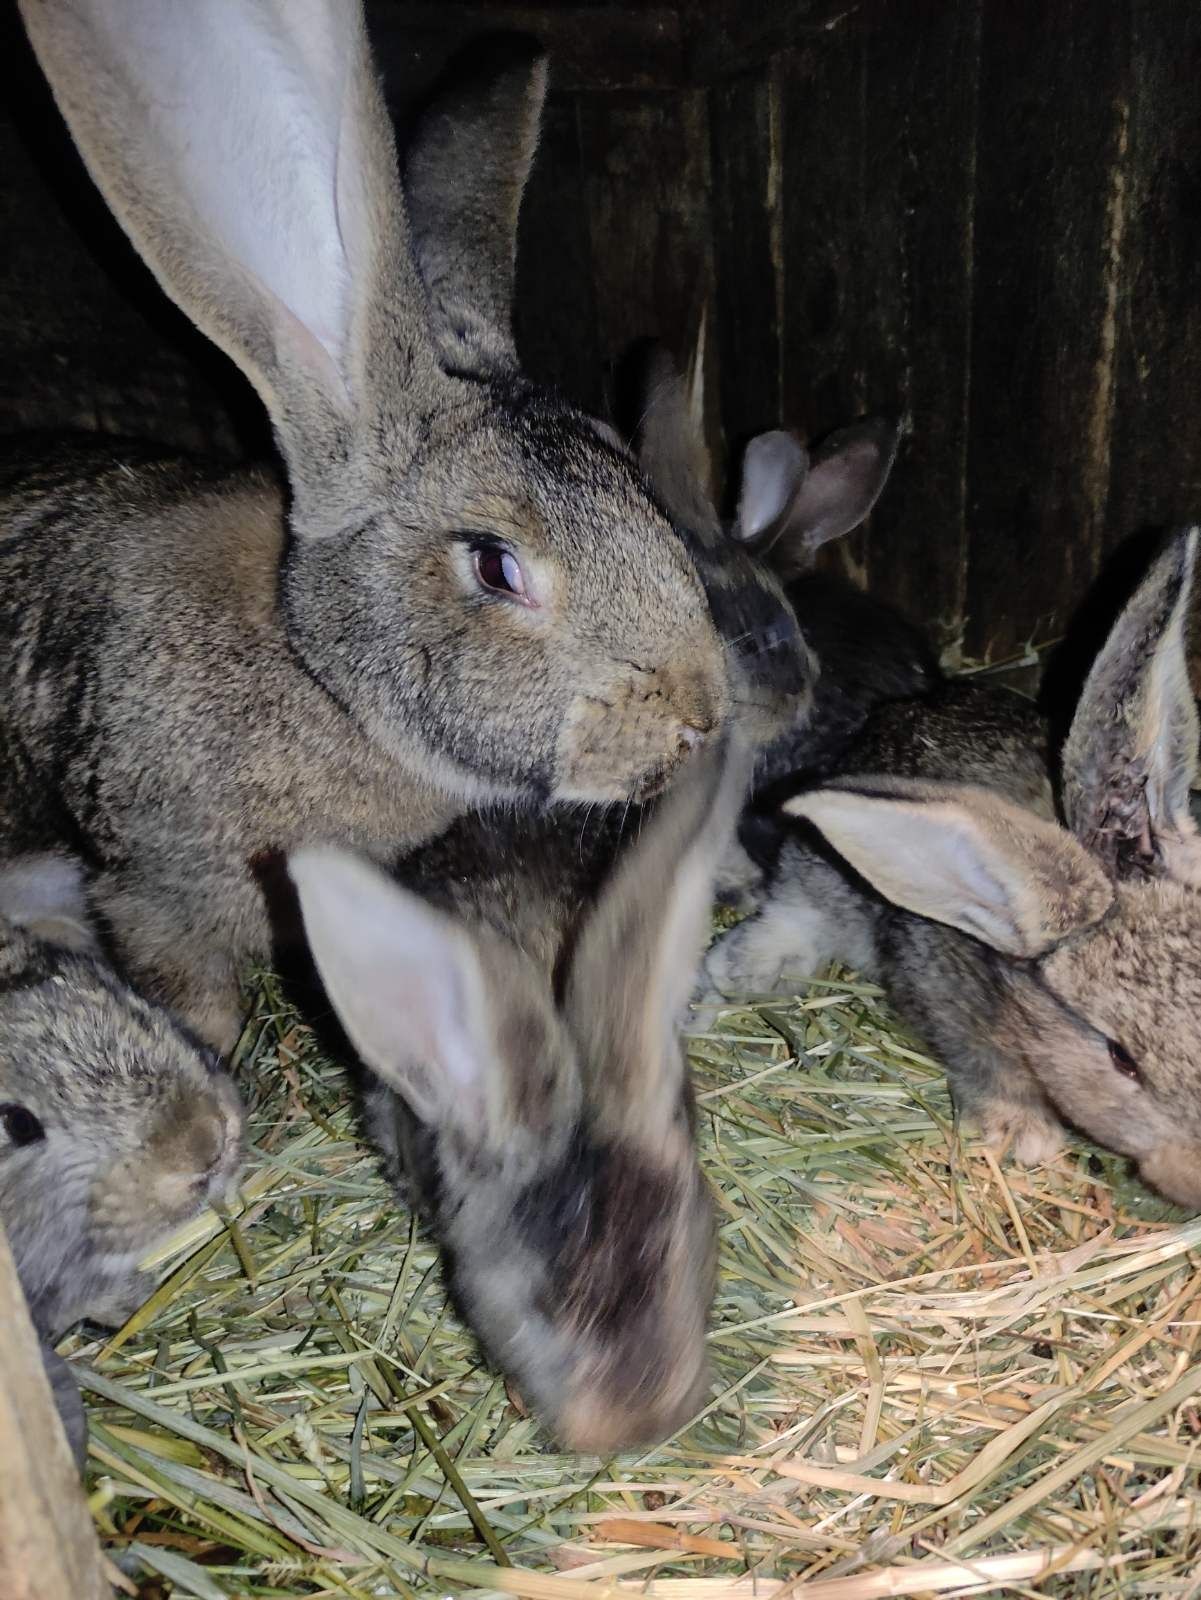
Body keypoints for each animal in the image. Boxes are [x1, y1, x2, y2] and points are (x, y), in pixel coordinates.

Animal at [2, 6, 732, 1056]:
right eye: (495, 566)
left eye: (631, 478)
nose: (700, 716)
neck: (318, 671)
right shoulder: (149, 893)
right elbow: (194, 999)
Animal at [703, 531, 1201, 1203]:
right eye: (1121, 1057)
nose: (1195, 1175)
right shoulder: (943, 996)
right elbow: (983, 1070)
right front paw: (1023, 1136)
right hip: (821, 874)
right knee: (793, 915)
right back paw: (743, 970)